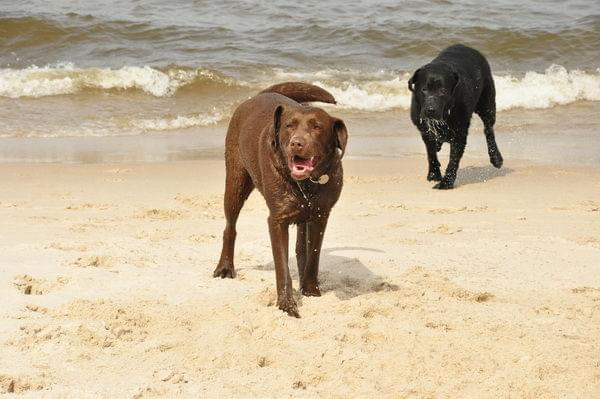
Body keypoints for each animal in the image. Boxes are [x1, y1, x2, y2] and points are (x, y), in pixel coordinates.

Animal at [213, 82, 350, 318]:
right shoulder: (277, 220)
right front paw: (287, 304)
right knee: (230, 227)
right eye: (289, 126)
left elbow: (313, 255)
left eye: (317, 127)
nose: (297, 143)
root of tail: (260, 95)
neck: (306, 185)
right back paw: (225, 267)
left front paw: (310, 289)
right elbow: (282, 266)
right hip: (235, 184)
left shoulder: (320, 215)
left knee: (302, 247)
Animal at [408, 43, 502, 191]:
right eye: (424, 90)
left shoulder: (459, 134)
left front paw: (446, 182)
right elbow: (431, 153)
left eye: (443, 91)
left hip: (487, 104)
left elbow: (453, 160)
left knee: (489, 130)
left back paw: (496, 158)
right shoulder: (424, 130)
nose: (430, 110)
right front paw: (434, 174)